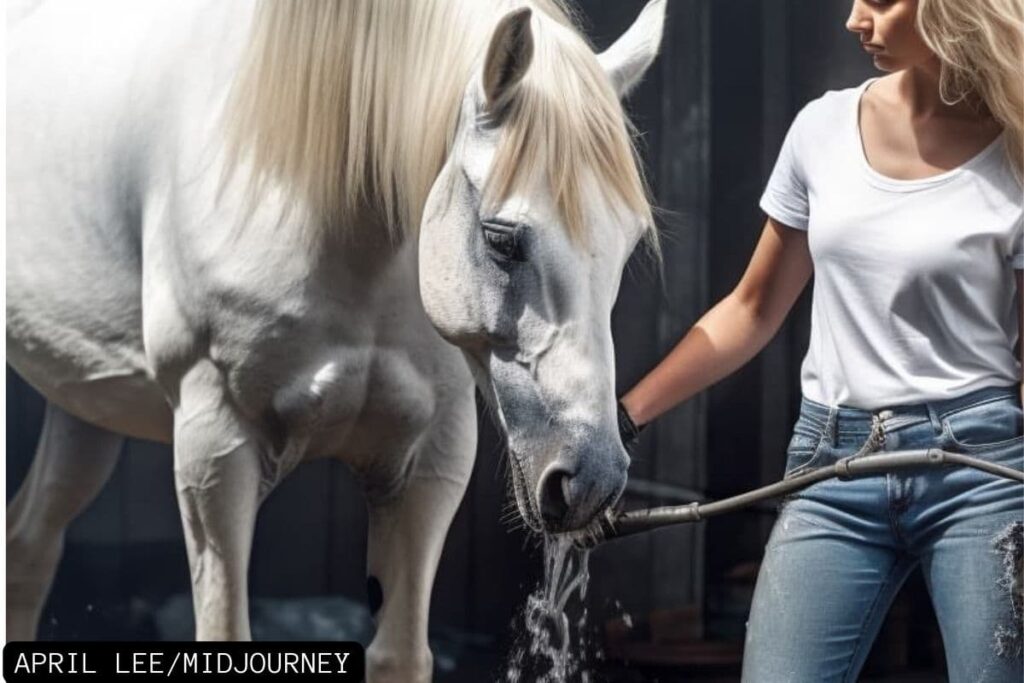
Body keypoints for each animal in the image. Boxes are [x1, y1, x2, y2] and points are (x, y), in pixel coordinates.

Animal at [8, 1, 667, 679]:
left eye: (628, 243)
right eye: (501, 238)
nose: (591, 477)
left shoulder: (430, 458)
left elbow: (400, 653)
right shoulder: (214, 447)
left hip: (83, 408)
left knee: (28, 547)